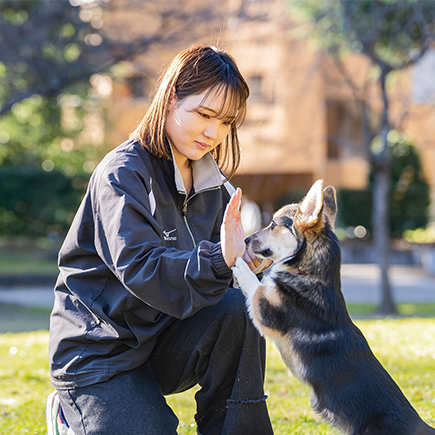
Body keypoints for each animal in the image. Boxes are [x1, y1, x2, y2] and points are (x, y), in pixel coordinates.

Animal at [233, 180, 434, 435]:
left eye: (272, 225)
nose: (246, 240)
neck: (310, 272)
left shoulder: (265, 309)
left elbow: (256, 286)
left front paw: (240, 266)